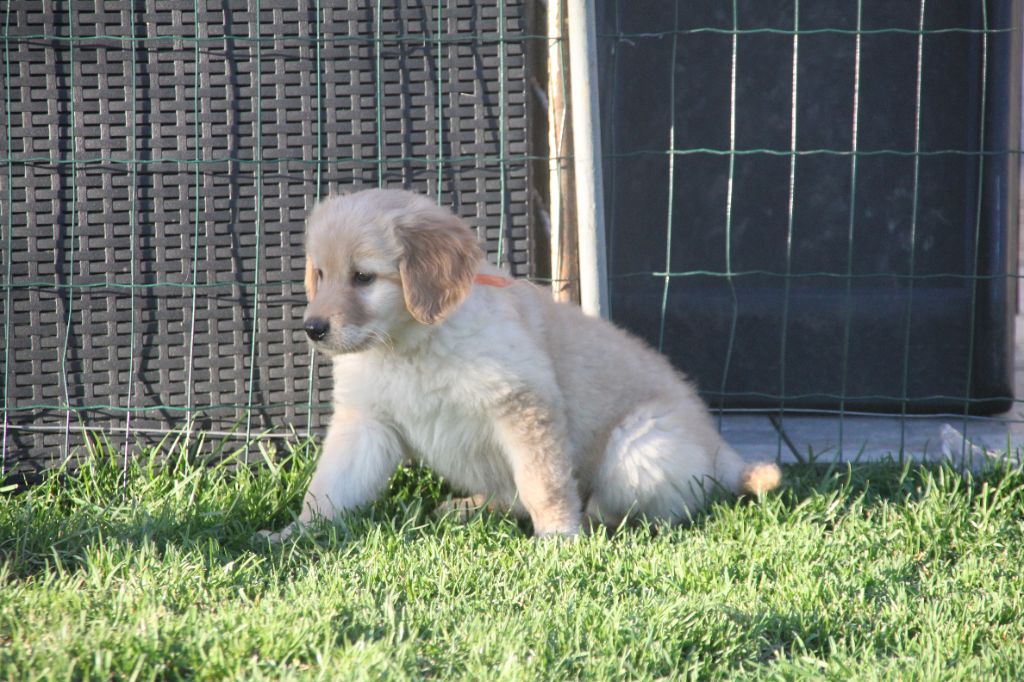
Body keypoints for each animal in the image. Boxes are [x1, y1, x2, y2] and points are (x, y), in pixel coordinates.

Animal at [262, 188, 779, 540]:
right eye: (320, 273)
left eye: (364, 278)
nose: (313, 328)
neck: (411, 343)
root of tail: (721, 449)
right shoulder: (366, 422)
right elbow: (329, 488)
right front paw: (294, 534)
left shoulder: (522, 404)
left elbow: (542, 482)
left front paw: (559, 537)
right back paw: (469, 507)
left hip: (639, 448)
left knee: (652, 506)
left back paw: (591, 519)